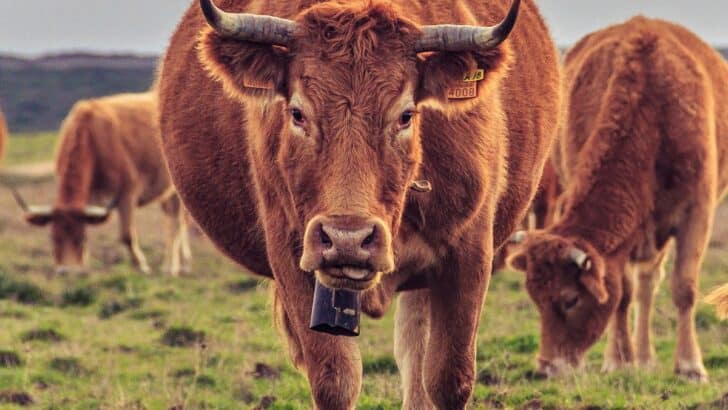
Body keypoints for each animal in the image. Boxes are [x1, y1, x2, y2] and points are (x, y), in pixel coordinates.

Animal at [13, 92, 191, 276]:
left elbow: (127, 235)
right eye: (53, 238)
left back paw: (171, 267)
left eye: (80, 239)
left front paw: (141, 265)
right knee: (173, 221)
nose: (68, 271)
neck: (92, 137)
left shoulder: (127, 194)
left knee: (178, 223)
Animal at [158, 0, 560, 407]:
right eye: (298, 113)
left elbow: (449, 378)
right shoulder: (294, 258)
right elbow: (335, 379)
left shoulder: (469, 256)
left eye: (405, 115)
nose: (347, 239)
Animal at [508, 17, 728, 382]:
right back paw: (642, 357)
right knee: (643, 286)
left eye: (570, 299)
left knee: (651, 283)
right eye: (536, 299)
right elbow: (621, 294)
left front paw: (690, 366)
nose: (547, 367)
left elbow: (684, 288)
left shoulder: (696, 213)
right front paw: (618, 360)